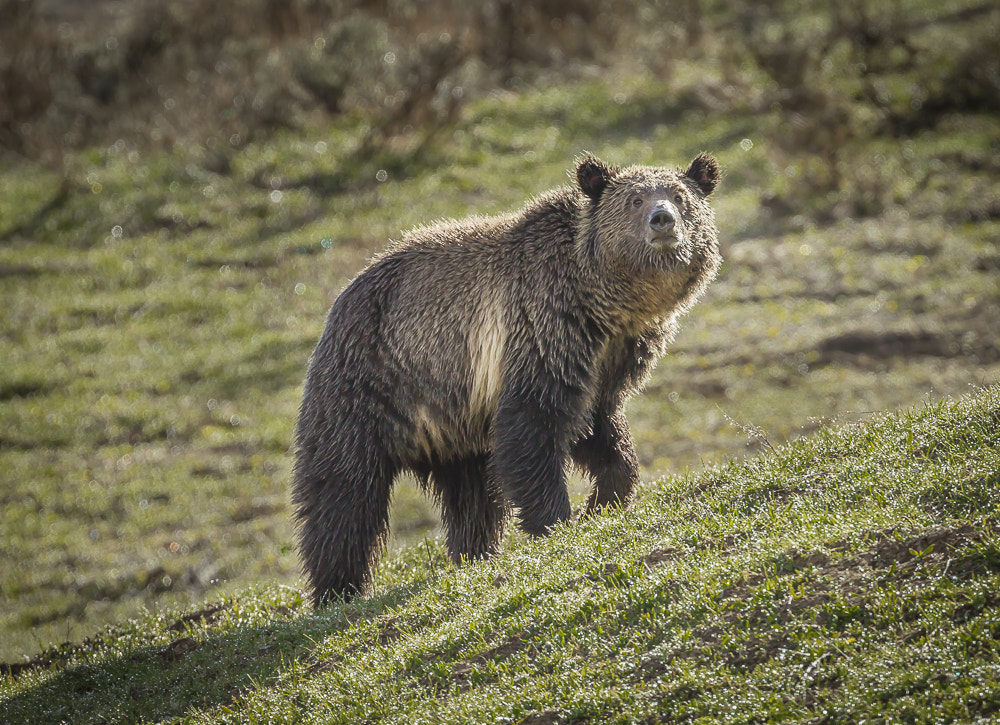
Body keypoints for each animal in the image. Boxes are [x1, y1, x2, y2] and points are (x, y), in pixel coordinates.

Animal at [290, 154, 720, 604]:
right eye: (635, 199)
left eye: (680, 195)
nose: (662, 220)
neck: (605, 305)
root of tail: (340, 300)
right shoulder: (541, 330)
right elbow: (533, 426)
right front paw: (554, 519)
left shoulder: (609, 360)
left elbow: (600, 429)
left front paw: (603, 499)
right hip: (369, 386)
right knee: (342, 491)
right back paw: (337, 588)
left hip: (451, 421)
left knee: (472, 493)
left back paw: (474, 551)